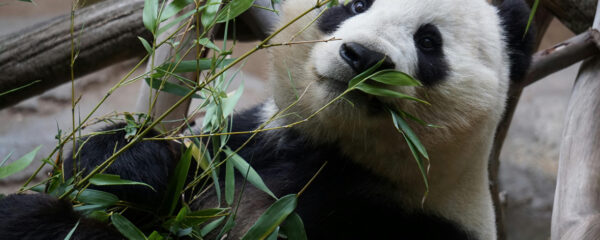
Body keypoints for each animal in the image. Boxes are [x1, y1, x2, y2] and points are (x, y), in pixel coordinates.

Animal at [0, 0, 536, 239]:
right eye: (356, 3)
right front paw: (128, 163)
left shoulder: (407, 220)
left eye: (428, 41)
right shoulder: (249, 144)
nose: (362, 57)